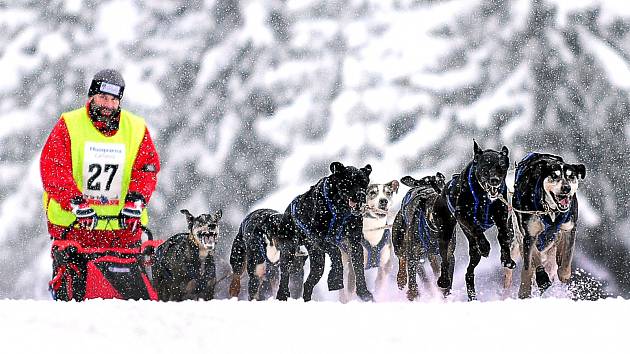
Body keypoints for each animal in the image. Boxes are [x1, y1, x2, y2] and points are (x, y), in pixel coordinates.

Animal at [278, 161, 372, 302]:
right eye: (350, 182)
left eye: (364, 182)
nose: (361, 194)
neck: (340, 210)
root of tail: (288, 210)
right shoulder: (319, 237)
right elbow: (336, 252)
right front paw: (336, 278)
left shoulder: (354, 243)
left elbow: (359, 269)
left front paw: (364, 293)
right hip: (289, 251)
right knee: (284, 274)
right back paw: (282, 295)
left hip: (318, 262)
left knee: (308, 283)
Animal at [434, 141, 520, 298]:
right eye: (485, 166)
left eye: (501, 166)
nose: (494, 180)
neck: (484, 196)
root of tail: (442, 191)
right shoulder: (463, 214)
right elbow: (476, 227)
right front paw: (485, 246)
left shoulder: (501, 215)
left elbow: (504, 236)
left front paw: (507, 259)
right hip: (446, 234)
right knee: (445, 259)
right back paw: (444, 280)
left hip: (473, 250)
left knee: (469, 272)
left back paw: (472, 294)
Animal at [504, 153, 588, 298]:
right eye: (554, 175)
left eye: (571, 176)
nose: (566, 188)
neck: (550, 210)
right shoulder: (529, 236)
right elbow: (529, 266)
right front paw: (525, 290)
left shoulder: (569, 229)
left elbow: (567, 255)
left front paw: (564, 274)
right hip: (515, 244)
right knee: (512, 270)